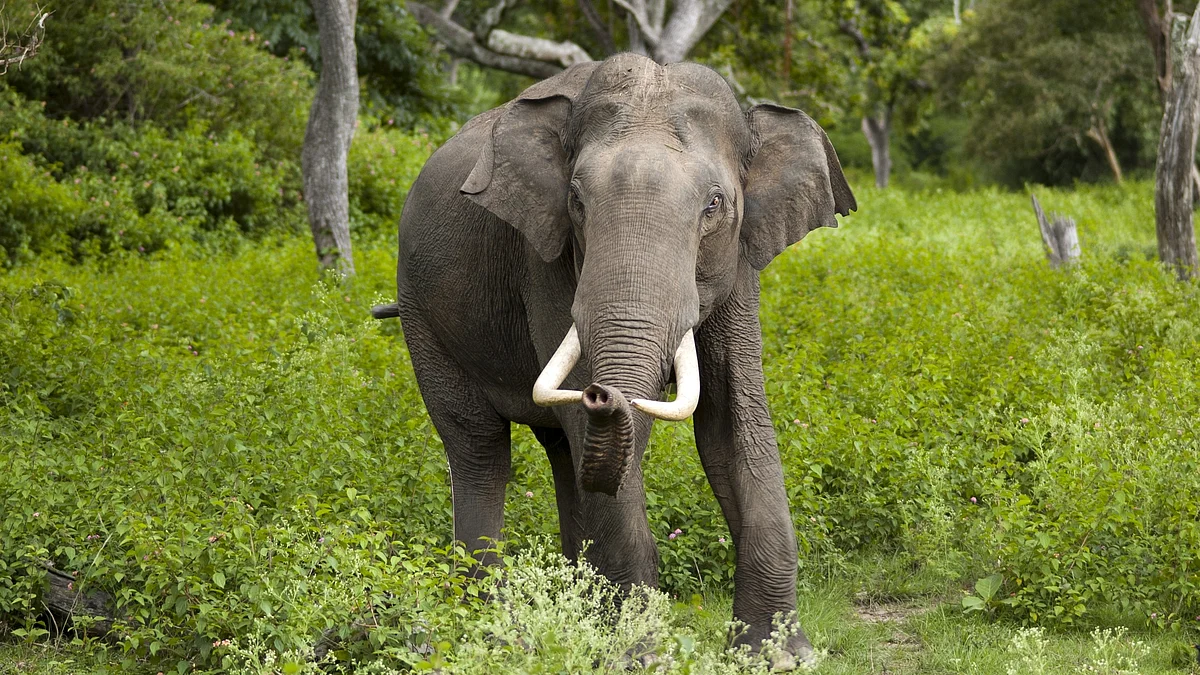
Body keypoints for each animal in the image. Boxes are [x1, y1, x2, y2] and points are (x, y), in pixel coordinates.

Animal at [371, 52, 855, 667]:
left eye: (714, 204)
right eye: (577, 200)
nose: (604, 393)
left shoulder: (741, 261)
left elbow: (731, 423)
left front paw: (779, 657)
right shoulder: (545, 259)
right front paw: (639, 658)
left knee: (562, 453)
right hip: (421, 315)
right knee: (479, 448)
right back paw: (498, 632)